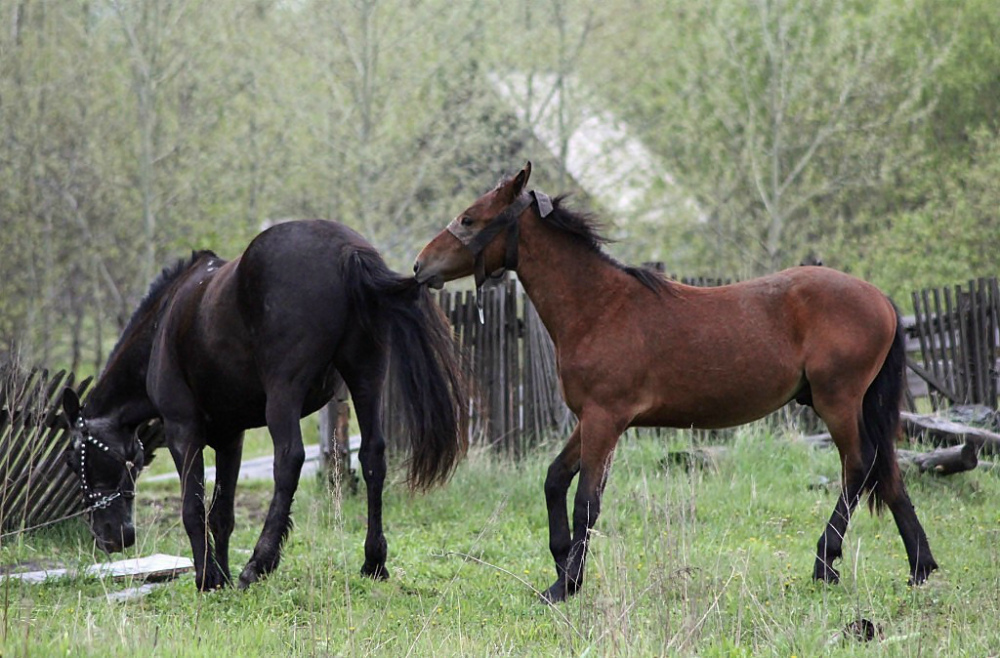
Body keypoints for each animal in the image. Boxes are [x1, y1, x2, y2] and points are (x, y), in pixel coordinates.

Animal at [62, 220, 468, 588]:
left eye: (72, 459)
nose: (110, 536)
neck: (165, 321)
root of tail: (347, 250)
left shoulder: (183, 431)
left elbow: (193, 507)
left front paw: (207, 578)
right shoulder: (231, 438)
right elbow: (222, 513)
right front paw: (220, 577)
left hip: (283, 394)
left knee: (289, 460)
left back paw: (259, 563)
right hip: (367, 378)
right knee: (372, 456)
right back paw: (373, 562)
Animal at [412, 163, 936, 600]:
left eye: (470, 219)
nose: (420, 266)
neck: (598, 308)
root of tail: (881, 300)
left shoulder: (606, 419)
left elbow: (586, 502)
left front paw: (565, 586)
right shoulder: (589, 418)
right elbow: (555, 479)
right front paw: (562, 565)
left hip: (838, 401)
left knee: (859, 466)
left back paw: (826, 564)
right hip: (858, 404)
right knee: (886, 470)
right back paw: (921, 567)